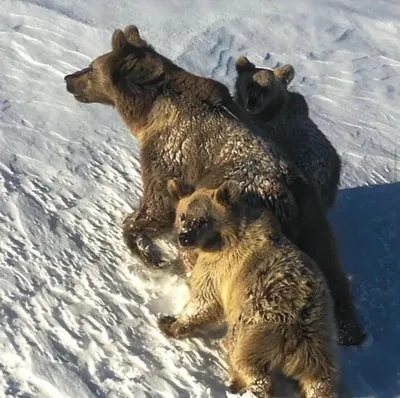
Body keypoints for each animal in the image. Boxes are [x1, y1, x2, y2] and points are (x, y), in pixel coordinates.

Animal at [159, 180, 338, 398]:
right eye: (183, 215)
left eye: (202, 220)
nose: (184, 237)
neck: (226, 235)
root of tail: (296, 331)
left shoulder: (220, 266)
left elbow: (204, 300)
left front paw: (170, 323)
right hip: (320, 340)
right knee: (320, 376)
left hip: (257, 323)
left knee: (246, 358)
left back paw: (243, 382)